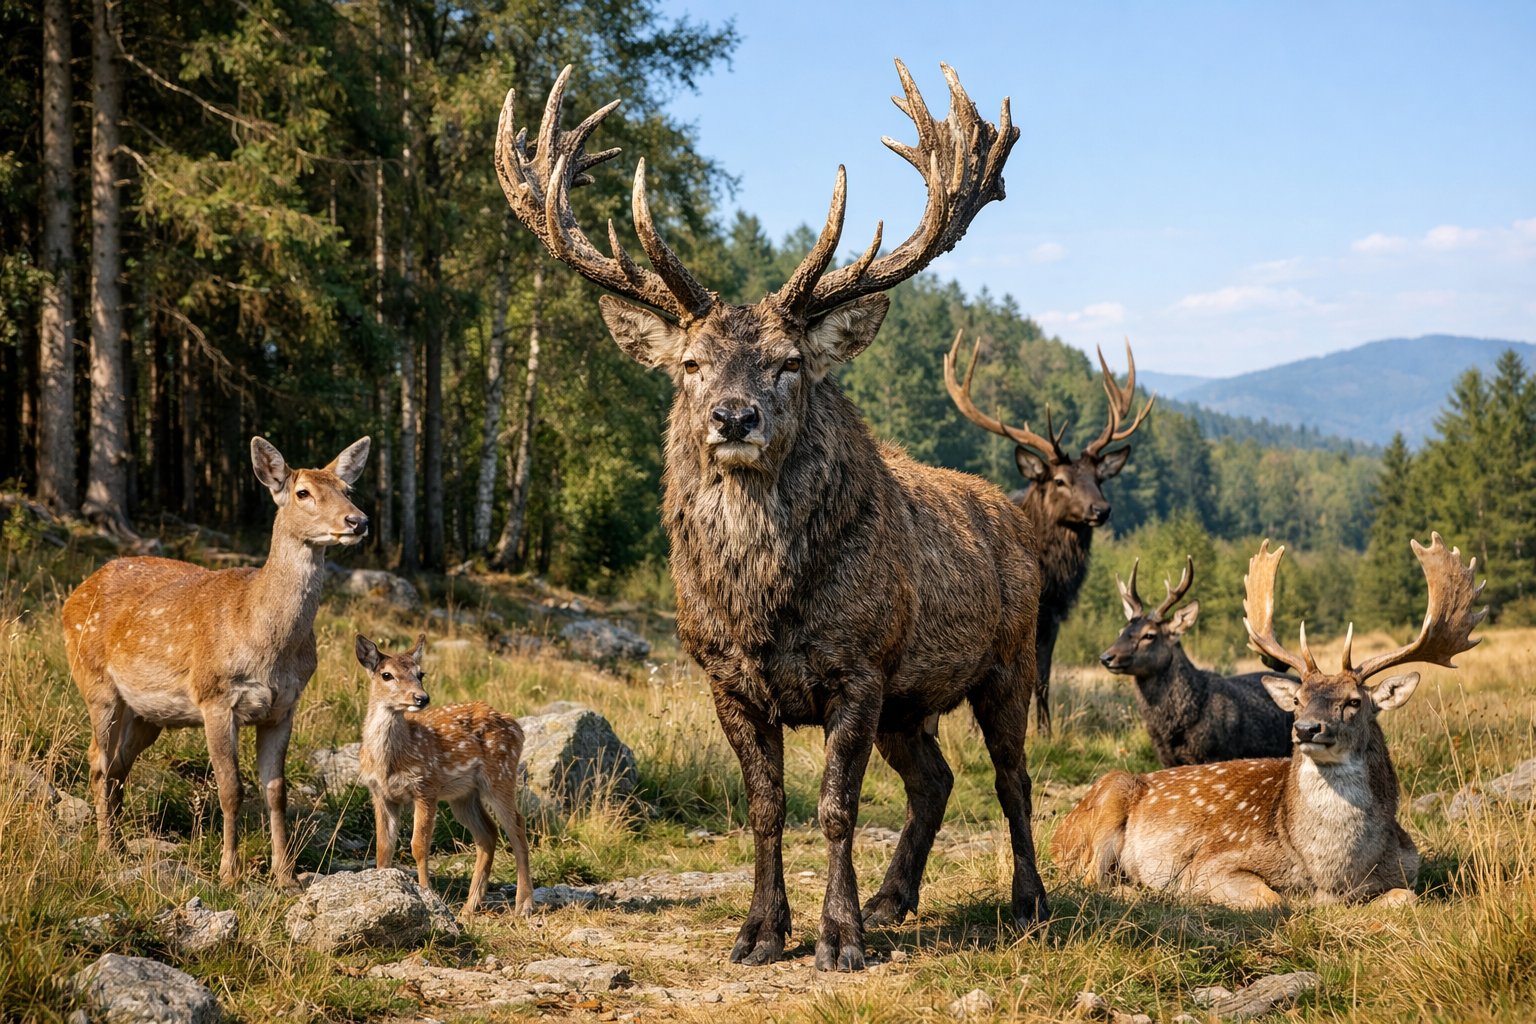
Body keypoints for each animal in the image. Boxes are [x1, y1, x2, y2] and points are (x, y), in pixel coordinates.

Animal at [62, 436, 370, 886]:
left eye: (348, 489)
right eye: (303, 493)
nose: (357, 521)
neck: (266, 642)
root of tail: (74, 594)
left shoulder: (283, 707)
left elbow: (276, 790)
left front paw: (286, 876)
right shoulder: (216, 698)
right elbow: (230, 788)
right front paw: (229, 873)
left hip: (147, 713)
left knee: (118, 767)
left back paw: (119, 846)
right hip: (96, 682)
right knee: (98, 761)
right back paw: (103, 849)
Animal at [354, 634, 534, 917]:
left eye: (420, 673)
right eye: (386, 675)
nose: (421, 698)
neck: (389, 762)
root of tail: (517, 726)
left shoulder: (426, 786)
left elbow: (418, 846)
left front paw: (426, 893)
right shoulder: (381, 794)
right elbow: (383, 848)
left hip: (501, 774)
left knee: (517, 825)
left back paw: (524, 904)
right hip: (463, 795)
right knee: (488, 833)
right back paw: (470, 907)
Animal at [495, 61, 1046, 971]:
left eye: (790, 362)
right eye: (690, 362)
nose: (734, 417)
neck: (763, 608)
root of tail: (1019, 520)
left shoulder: (860, 667)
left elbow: (835, 809)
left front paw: (839, 937)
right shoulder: (725, 677)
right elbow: (764, 809)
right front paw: (761, 931)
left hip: (1009, 661)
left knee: (1012, 777)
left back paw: (1028, 900)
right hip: (912, 702)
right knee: (935, 778)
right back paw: (896, 899)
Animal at [945, 333, 1153, 736]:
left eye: (1099, 477)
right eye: (1059, 480)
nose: (1101, 509)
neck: (1050, 576)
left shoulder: (1052, 615)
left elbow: (1043, 677)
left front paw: (1046, 732)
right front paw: (976, 734)